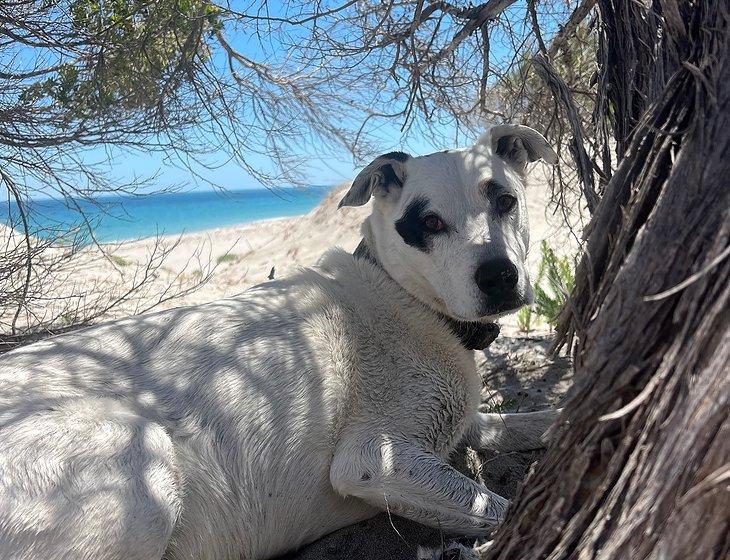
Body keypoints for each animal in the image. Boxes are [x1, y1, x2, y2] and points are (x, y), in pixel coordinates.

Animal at [0, 124, 556, 556]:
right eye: (431, 223)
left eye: (506, 201)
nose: (499, 276)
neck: (406, 295)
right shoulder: (376, 463)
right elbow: (505, 507)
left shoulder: (463, 424)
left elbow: (531, 423)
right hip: (141, 461)